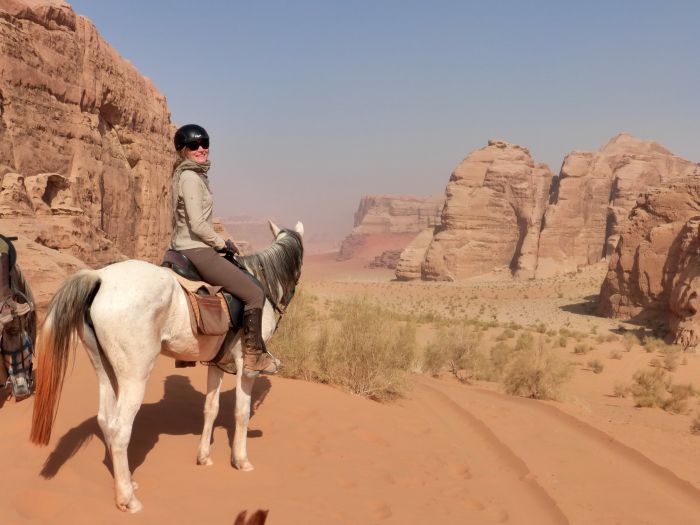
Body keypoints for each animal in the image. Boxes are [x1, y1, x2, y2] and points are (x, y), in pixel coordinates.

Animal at [30, 220, 304, 512]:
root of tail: (100, 278)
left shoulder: (217, 364)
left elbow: (211, 408)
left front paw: (204, 457)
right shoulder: (246, 366)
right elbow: (241, 413)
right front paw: (241, 461)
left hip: (103, 368)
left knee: (105, 419)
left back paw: (126, 481)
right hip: (135, 375)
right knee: (119, 428)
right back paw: (127, 499)